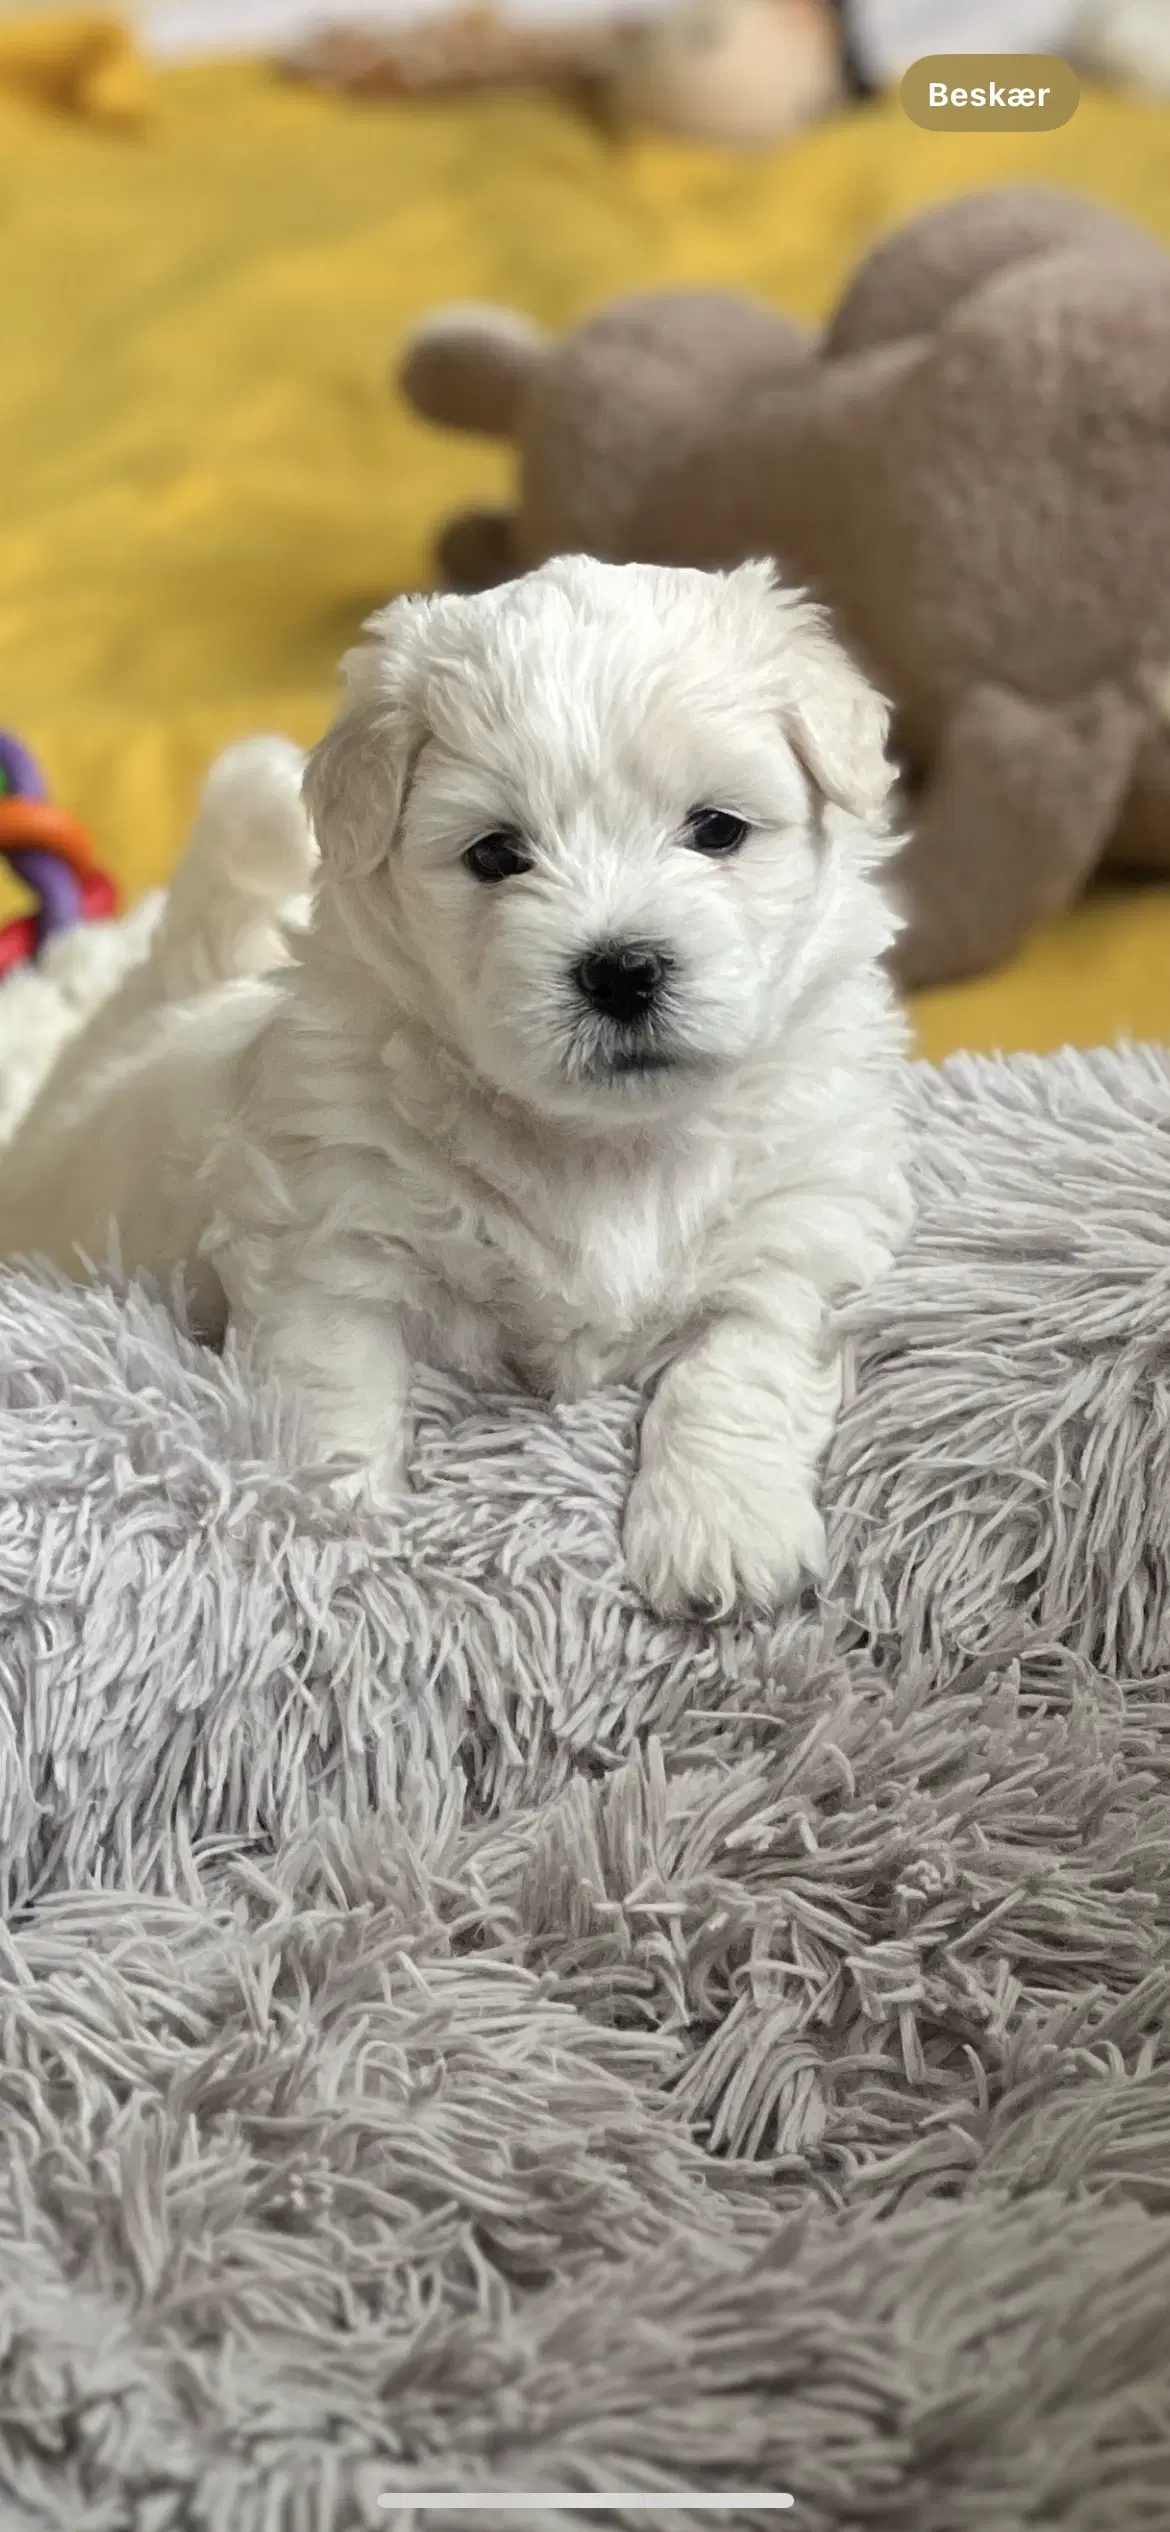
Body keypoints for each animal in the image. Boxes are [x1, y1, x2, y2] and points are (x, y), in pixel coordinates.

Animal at [0, 559, 911, 1620]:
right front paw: (328, 1522)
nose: (622, 970)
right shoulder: (328, 1233)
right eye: (496, 854)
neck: (603, 1142)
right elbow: (336, 1383)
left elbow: (736, 1367)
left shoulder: (798, 1227)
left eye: (717, 830)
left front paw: (722, 1537)